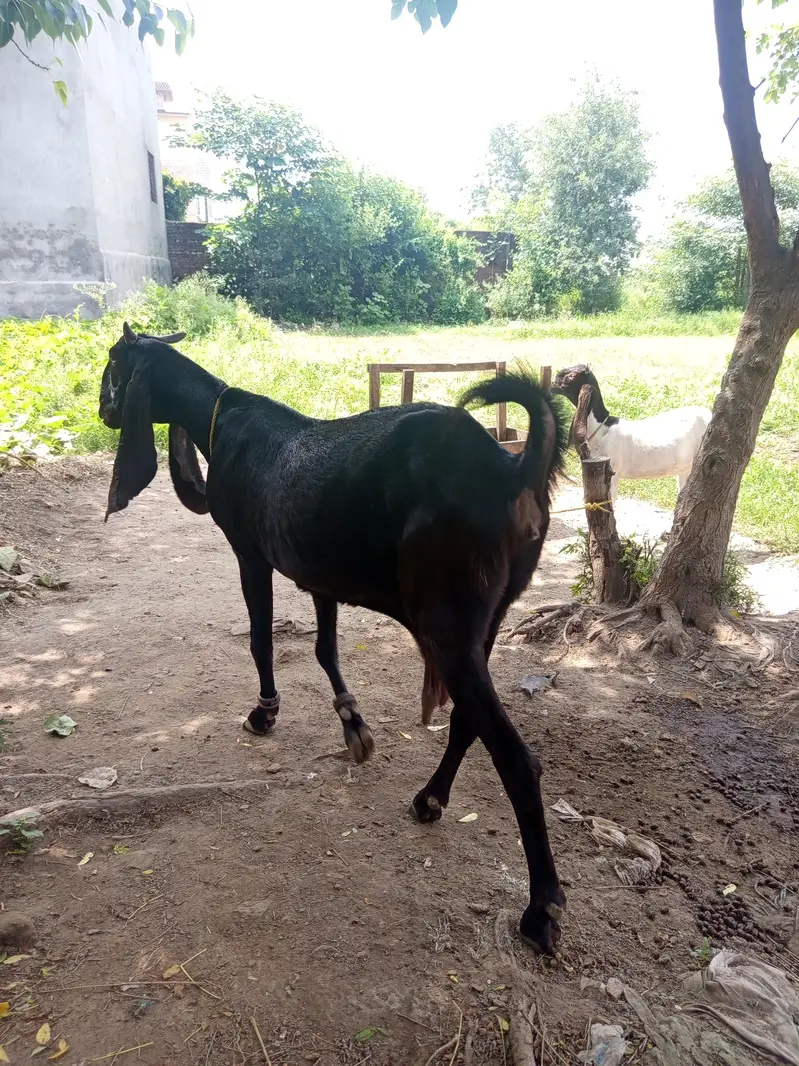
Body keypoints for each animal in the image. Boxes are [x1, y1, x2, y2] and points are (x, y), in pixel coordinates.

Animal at [98, 323, 568, 953]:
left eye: (114, 364)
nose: (103, 411)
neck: (220, 418)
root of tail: (510, 468)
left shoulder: (250, 554)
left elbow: (260, 639)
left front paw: (265, 712)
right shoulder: (317, 571)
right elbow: (325, 648)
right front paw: (353, 724)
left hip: (447, 624)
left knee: (516, 759)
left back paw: (540, 907)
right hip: (487, 621)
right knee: (468, 721)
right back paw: (430, 798)